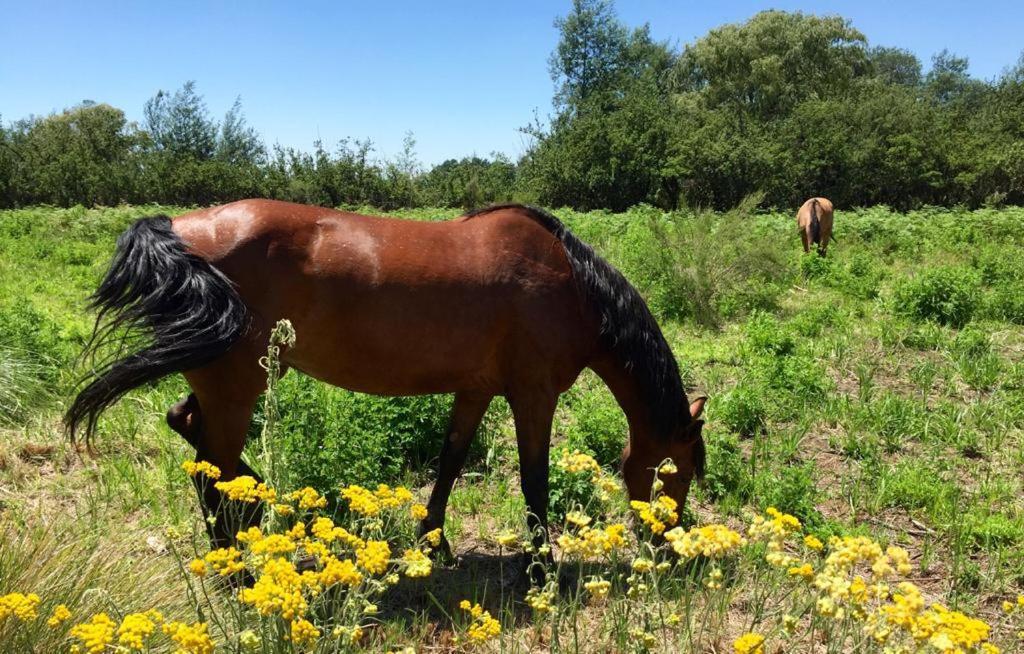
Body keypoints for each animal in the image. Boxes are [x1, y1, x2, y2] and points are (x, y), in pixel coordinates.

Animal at [61, 199, 704, 564]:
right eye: (680, 469)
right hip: (237, 388)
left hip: (224, 379)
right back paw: (235, 566)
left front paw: (433, 541)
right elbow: (534, 481)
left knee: (191, 433)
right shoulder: (533, 396)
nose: (666, 541)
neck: (570, 283)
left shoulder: (476, 389)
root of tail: (179, 229)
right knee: (211, 469)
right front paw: (539, 566)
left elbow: (450, 461)